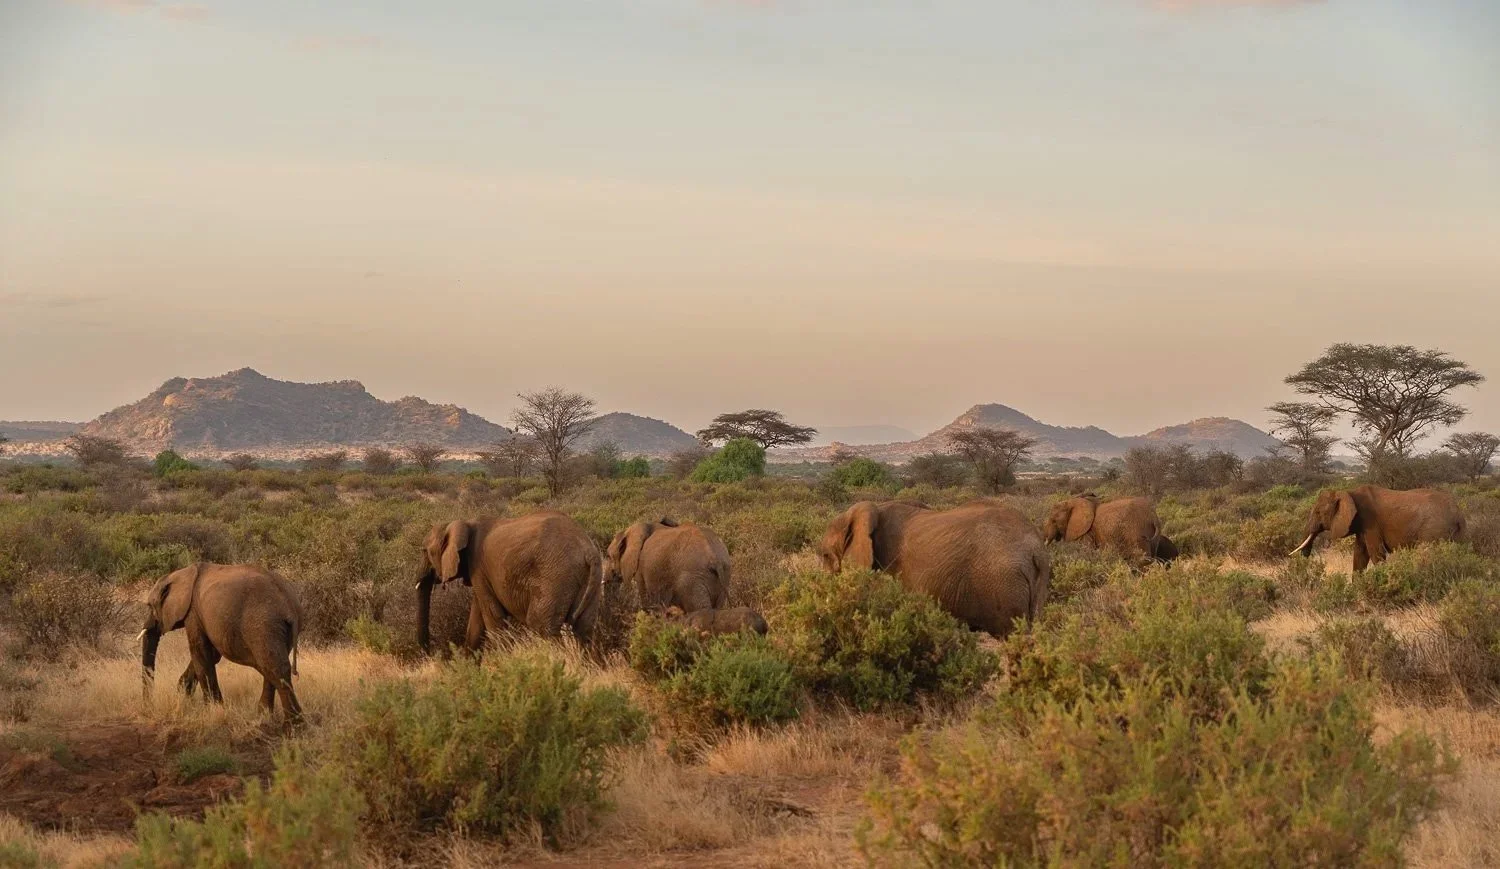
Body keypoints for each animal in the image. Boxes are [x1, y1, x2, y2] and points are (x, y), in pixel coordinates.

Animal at [139, 563, 303, 722]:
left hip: (263, 624)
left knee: (276, 668)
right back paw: (264, 716)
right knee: (270, 667)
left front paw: (212, 710)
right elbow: (212, 655)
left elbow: (201, 654)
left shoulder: (193, 613)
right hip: (279, 629)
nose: (149, 706)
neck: (181, 573)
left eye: (150, 606)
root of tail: (289, 603)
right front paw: (184, 693)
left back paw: (293, 725)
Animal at [416, 511, 603, 652]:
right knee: (584, 629)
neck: (465, 523)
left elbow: (493, 618)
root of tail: (589, 552)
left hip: (554, 577)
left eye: (425, 551)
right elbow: (476, 622)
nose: (428, 652)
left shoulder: (478, 566)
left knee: (542, 627)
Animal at [1291, 485, 1465, 571]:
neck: (1348, 492)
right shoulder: (1362, 525)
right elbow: (1359, 555)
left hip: (1434, 529)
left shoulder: (1370, 522)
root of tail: (1458, 513)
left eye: (1318, 512)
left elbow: (1376, 554)